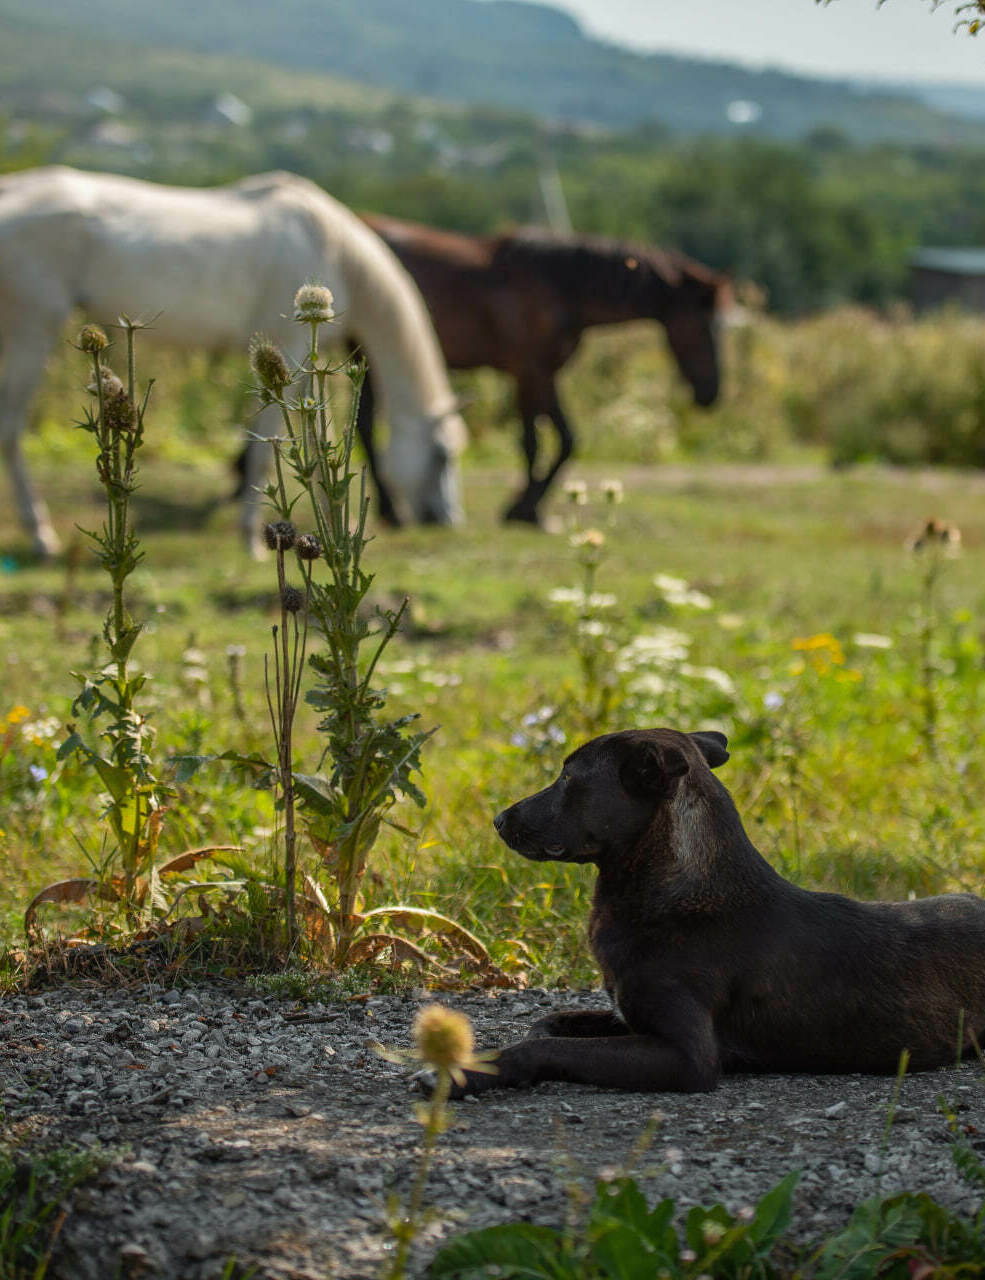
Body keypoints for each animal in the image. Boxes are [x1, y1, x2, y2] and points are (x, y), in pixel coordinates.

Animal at [0, 165, 465, 555]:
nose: (446, 520)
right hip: (31, 330)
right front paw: (252, 538)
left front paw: (340, 527)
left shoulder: (309, 367)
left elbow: (323, 442)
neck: (332, 247)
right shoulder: (289, 351)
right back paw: (41, 536)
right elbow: (267, 448)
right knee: (11, 430)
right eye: (442, 455)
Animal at [358, 212, 726, 522]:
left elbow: (567, 438)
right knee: (365, 427)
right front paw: (522, 509)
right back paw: (390, 510)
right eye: (702, 326)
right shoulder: (527, 371)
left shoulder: (547, 374)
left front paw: (528, 508)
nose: (711, 393)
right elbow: (532, 442)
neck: (559, 287)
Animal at [455, 727, 985, 1095]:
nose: (497, 820)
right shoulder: (629, 1017)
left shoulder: (687, 1056)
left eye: (567, 779)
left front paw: (472, 1073)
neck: (677, 894)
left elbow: (542, 1042)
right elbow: (551, 1023)